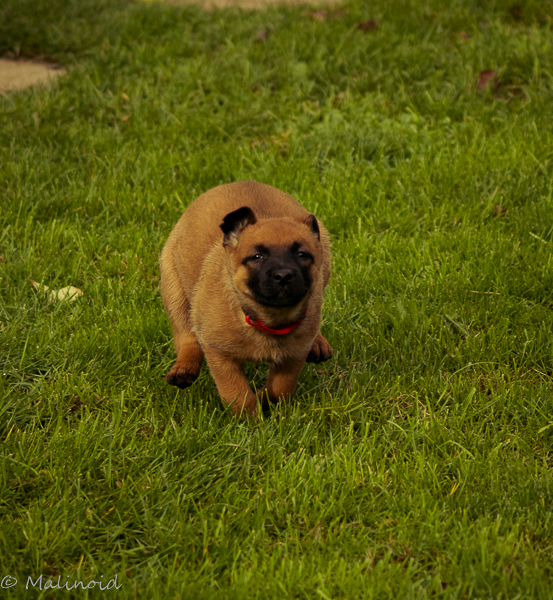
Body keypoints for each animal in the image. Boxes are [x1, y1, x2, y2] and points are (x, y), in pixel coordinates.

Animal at [160, 180, 332, 416]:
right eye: (257, 257)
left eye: (302, 254)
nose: (283, 276)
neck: (265, 320)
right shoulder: (219, 354)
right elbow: (237, 393)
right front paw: (250, 418)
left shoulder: (294, 355)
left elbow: (281, 389)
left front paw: (263, 400)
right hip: (174, 289)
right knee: (186, 335)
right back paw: (184, 368)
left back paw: (319, 342)